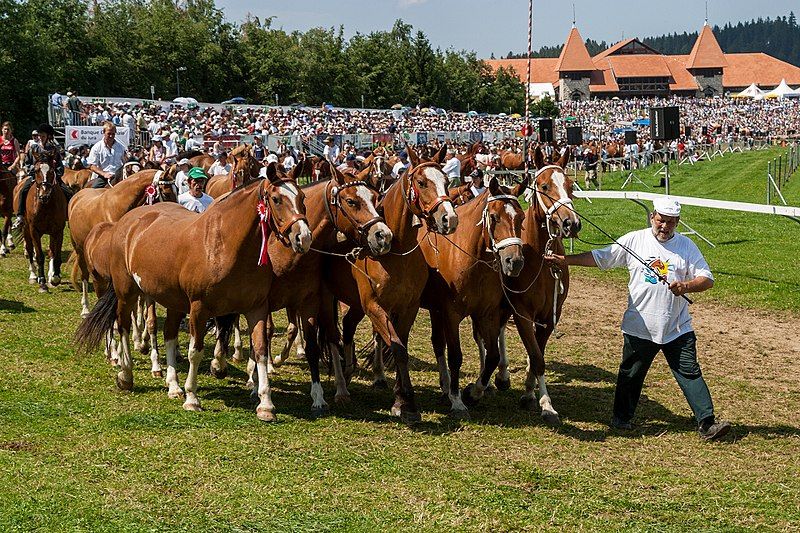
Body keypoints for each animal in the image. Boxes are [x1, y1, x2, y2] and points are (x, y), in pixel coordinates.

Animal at [13, 152, 68, 294]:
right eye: (37, 170)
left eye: (52, 171)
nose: (44, 195)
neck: (45, 205)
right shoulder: (34, 230)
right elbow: (39, 256)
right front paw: (42, 283)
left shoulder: (58, 231)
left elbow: (55, 254)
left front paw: (55, 277)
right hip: (26, 229)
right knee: (29, 250)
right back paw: (33, 276)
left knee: (50, 251)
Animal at [75, 162, 310, 420]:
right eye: (276, 199)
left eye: (302, 197)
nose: (304, 237)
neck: (223, 244)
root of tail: (127, 222)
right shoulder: (198, 308)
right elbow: (195, 352)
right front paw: (192, 398)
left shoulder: (255, 308)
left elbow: (260, 351)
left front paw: (266, 404)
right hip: (126, 293)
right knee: (123, 326)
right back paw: (126, 375)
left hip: (172, 301)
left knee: (168, 333)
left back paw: (173, 385)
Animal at [318, 142, 456, 424]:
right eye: (422, 182)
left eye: (447, 181)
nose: (449, 218)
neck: (396, 252)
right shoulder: (374, 306)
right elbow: (398, 348)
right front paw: (408, 402)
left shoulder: (407, 308)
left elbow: (398, 344)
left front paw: (400, 398)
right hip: (329, 299)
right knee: (332, 334)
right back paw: (341, 388)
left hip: (356, 305)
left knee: (348, 327)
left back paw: (351, 371)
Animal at [418, 176, 532, 416]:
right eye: (494, 217)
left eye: (521, 217)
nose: (514, 261)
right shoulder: (451, 315)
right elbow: (455, 356)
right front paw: (457, 400)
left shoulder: (487, 314)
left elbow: (493, 356)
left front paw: (475, 392)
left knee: (437, 342)